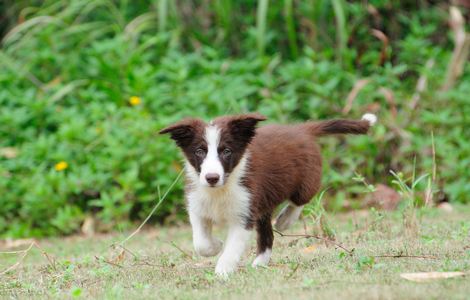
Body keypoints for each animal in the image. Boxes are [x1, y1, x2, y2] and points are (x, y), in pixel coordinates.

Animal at [160, 113, 376, 276]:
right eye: (199, 151)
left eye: (226, 151)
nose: (212, 178)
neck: (220, 189)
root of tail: (302, 129)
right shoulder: (197, 205)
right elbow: (201, 243)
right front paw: (216, 246)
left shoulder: (245, 213)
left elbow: (233, 247)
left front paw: (223, 269)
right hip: (263, 204)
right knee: (267, 235)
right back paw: (260, 262)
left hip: (306, 180)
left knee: (300, 200)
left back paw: (285, 221)